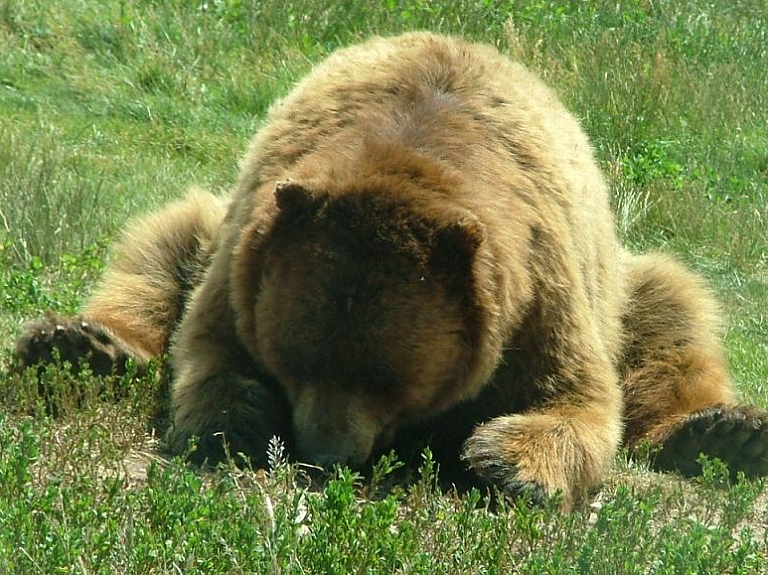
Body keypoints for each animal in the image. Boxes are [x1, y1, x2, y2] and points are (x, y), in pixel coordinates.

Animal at [15, 32, 768, 508]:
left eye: (387, 378)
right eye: (295, 361)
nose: (325, 453)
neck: (413, 150)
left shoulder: (537, 291)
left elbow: (576, 397)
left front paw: (504, 459)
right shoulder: (245, 254)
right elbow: (208, 351)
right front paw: (243, 416)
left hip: (623, 287)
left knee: (673, 310)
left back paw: (726, 431)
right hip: (212, 226)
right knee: (161, 244)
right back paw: (78, 342)